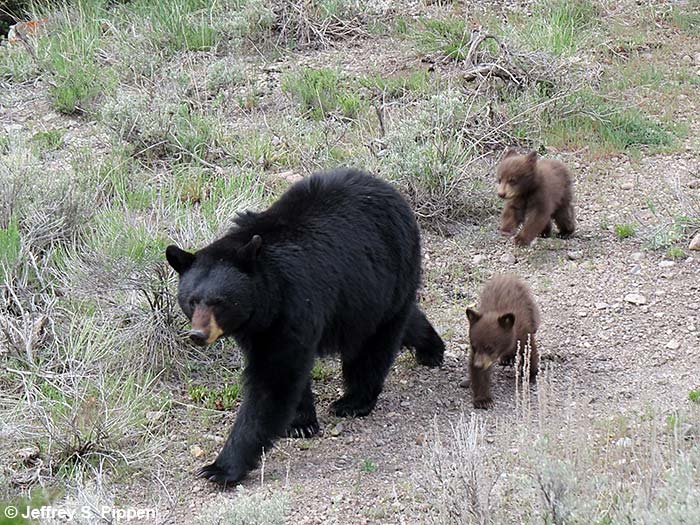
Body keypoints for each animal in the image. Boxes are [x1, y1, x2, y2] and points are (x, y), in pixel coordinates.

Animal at [165, 168, 445, 484]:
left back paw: (354, 401)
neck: (268, 295)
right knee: (402, 320)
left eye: (220, 302)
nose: (198, 335)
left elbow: (274, 379)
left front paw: (220, 468)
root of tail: (391, 191)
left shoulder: (295, 303)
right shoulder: (258, 326)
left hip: (385, 275)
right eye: (192, 301)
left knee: (373, 345)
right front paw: (300, 423)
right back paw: (431, 348)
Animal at [465, 274, 539, 409]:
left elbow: (529, 352)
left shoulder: (523, 332)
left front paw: (530, 374)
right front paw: (483, 400)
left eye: (489, 347)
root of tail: (507, 276)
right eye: (474, 346)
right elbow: (480, 375)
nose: (478, 364)